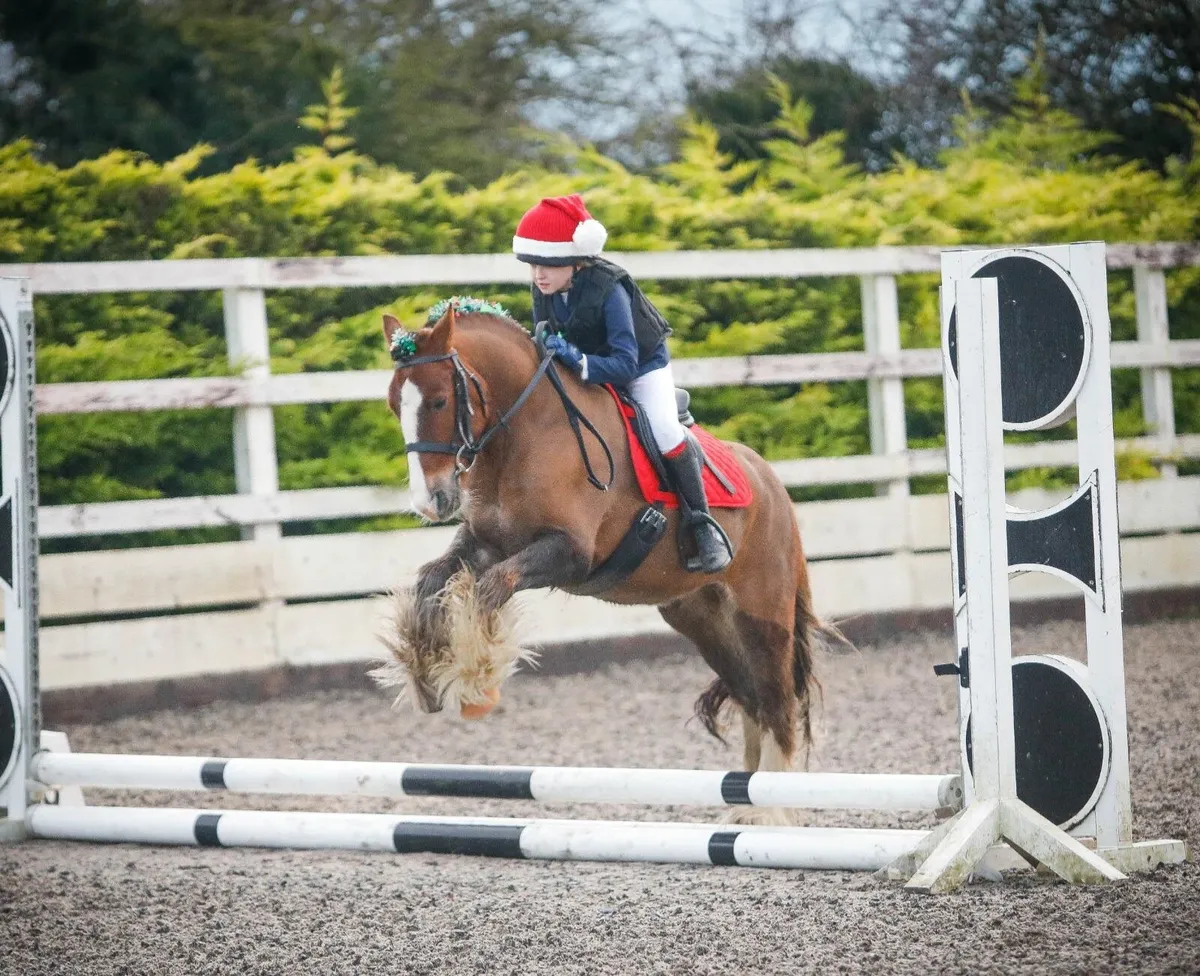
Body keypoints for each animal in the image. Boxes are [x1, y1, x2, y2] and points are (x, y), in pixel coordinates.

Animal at [374, 298, 850, 820]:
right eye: (395, 405)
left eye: (440, 401)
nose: (431, 502)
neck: (524, 434)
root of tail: (771, 482)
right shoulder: (485, 543)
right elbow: (430, 581)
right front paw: (422, 672)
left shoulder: (568, 552)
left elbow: (491, 587)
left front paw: (476, 680)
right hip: (702, 618)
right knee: (752, 698)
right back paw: (747, 802)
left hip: (761, 613)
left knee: (777, 700)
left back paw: (769, 810)